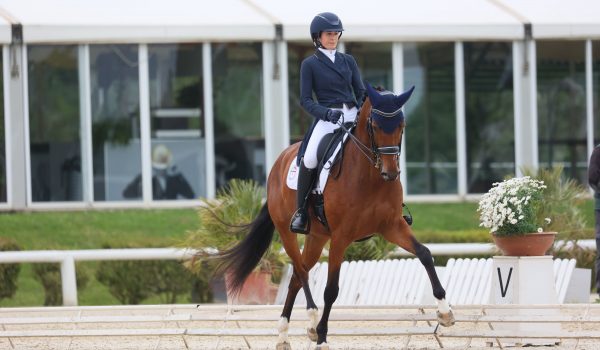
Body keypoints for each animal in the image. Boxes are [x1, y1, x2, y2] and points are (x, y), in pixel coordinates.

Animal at [213, 83, 452, 348]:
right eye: (375, 126)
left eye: (402, 125)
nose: (391, 173)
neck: (370, 177)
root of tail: (279, 162)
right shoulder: (341, 237)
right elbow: (331, 290)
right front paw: (322, 337)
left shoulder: (392, 226)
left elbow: (425, 254)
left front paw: (445, 312)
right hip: (287, 231)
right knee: (301, 271)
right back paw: (311, 318)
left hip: (317, 237)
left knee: (297, 275)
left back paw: (286, 335)